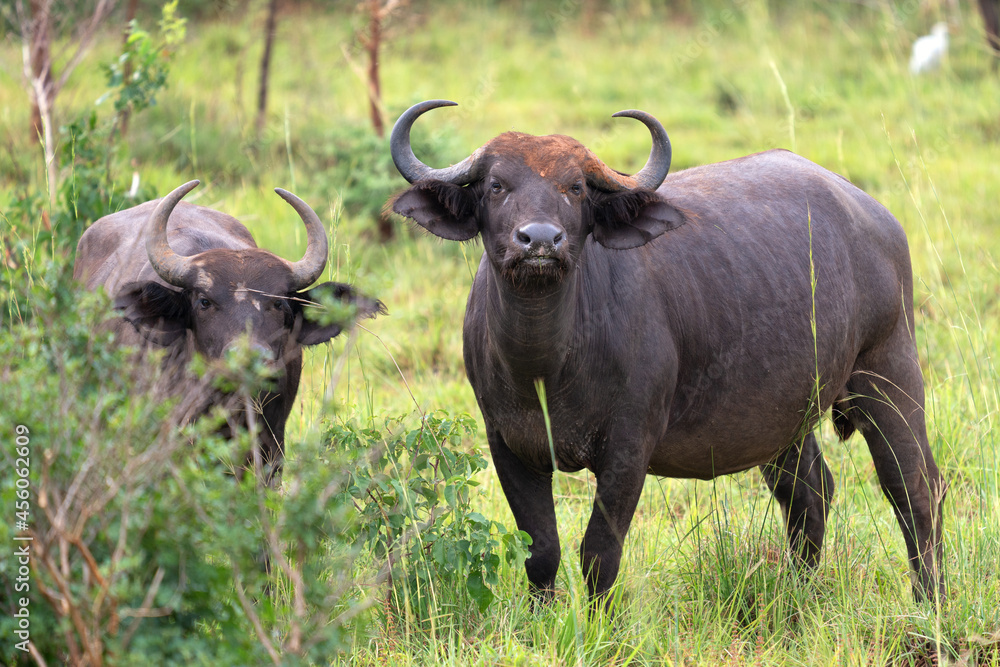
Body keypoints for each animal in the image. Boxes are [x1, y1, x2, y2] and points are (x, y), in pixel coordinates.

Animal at [388, 99, 944, 604]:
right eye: (496, 186)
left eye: (575, 187)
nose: (540, 240)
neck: (545, 367)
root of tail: (877, 219)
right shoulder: (508, 445)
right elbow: (541, 552)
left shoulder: (628, 449)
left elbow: (599, 554)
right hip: (785, 417)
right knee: (810, 493)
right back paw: (798, 592)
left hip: (889, 369)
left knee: (915, 488)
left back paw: (928, 603)